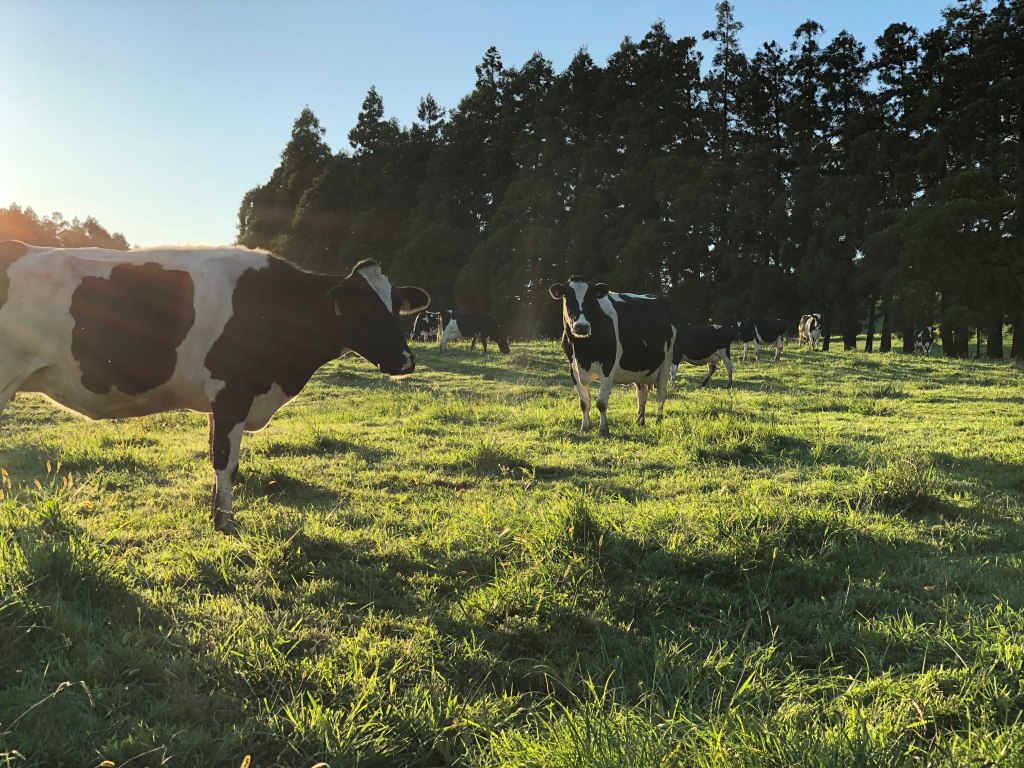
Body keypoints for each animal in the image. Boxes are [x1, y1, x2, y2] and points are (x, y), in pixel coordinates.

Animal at [0, 240, 428, 536]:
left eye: (396, 306)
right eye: (363, 307)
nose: (406, 360)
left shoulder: (219, 402)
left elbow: (216, 457)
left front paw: (216, 516)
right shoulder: (233, 393)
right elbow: (226, 462)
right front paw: (226, 524)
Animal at [548, 278, 675, 436]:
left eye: (591, 299)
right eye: (568, 298)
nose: (582, 327)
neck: (582, 351)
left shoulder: (608, 366)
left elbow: (601, 402)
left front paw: (603, 430)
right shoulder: (573, 368)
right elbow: (584, 402)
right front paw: (585, 427)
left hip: (666, 362)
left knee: (661, 395)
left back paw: (658, 421)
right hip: (641, 369)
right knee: (642, 394)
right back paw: (640, 421)